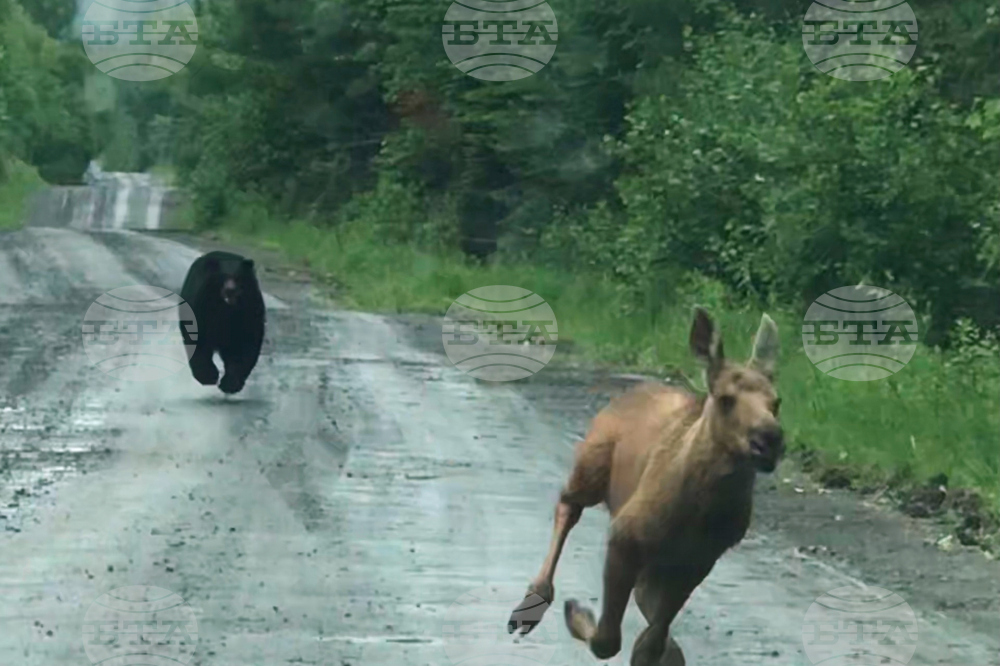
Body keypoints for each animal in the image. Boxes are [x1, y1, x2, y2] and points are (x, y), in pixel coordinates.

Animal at [179, 251, 266, 395]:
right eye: (222, 277)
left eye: (238, 277)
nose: (230, 290)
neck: (226, 309)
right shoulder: (202, 307)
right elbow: (198, 339)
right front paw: (207, 376)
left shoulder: (249, 311)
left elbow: (246, 344)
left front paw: (230, 383)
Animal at [507, 307, 784, 665]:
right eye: (725, 399)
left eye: (777, 402)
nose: (770, 439)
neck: (700, 511)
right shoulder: (625, 536)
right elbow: (608, 640)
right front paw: (577, 613)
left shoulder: (699, 560)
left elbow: (652, 638)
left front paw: (661, 651)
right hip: (591, 464)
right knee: (569, 504)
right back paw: (533, 603)